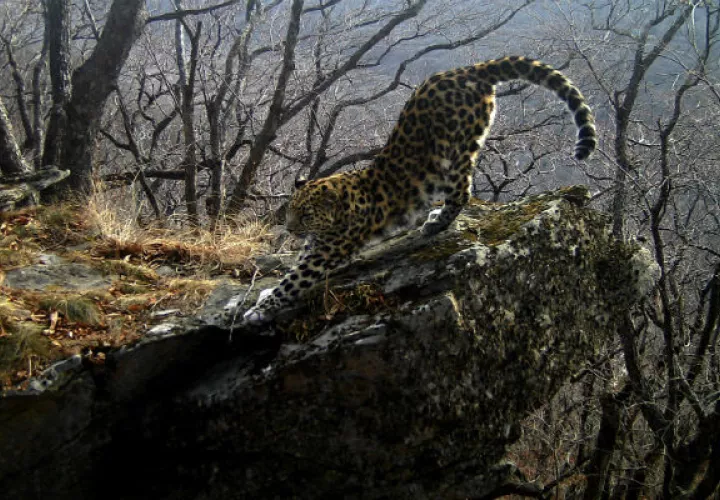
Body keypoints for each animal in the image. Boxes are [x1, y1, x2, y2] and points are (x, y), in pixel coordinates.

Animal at [243, 56, 597, 324]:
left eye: (305, 214)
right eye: (290, 211)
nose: (290, 229)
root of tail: (469, 69)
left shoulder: (326, 252)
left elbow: (293, 279)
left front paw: (260, 309)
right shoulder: (317, 245)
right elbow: (293, 266)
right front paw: (263, 295)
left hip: (456, 152)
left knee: (462, 192)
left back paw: (435, 222)